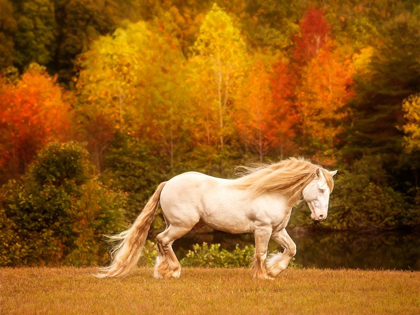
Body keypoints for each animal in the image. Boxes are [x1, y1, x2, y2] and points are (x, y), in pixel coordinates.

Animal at [97, 159, 336, 280]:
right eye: (321, 189)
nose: (321, 216)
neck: (273, 192)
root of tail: (168, 183)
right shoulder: (263, 229)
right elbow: (261, 253)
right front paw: (263, 276)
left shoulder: (277, 230)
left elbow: (292, 249)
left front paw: (274, 270)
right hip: (182, 225)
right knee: (163, 240)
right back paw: (174, 271)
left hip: (173, 224)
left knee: (162, 242)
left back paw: (162, 272)